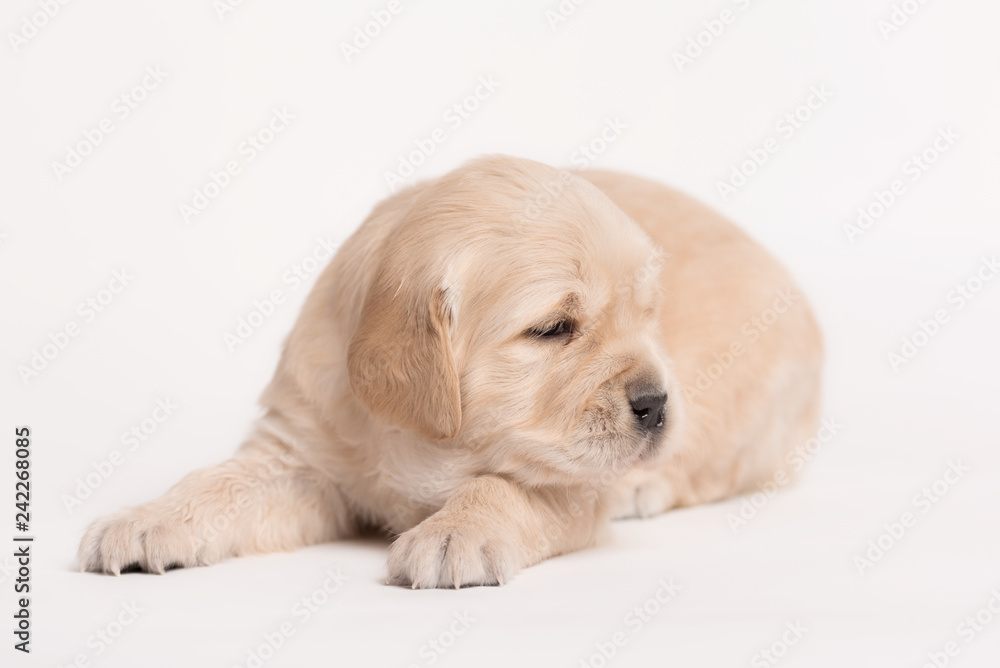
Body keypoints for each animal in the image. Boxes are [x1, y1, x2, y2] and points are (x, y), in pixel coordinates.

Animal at [78, 154, 820, 588]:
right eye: (554, 329)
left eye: (649, 315)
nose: (657, 403)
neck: (431, 440)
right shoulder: (302, 450)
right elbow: (220, 481)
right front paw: (149, 517)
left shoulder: (568, 483)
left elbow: (504, 487)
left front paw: (455, 532)